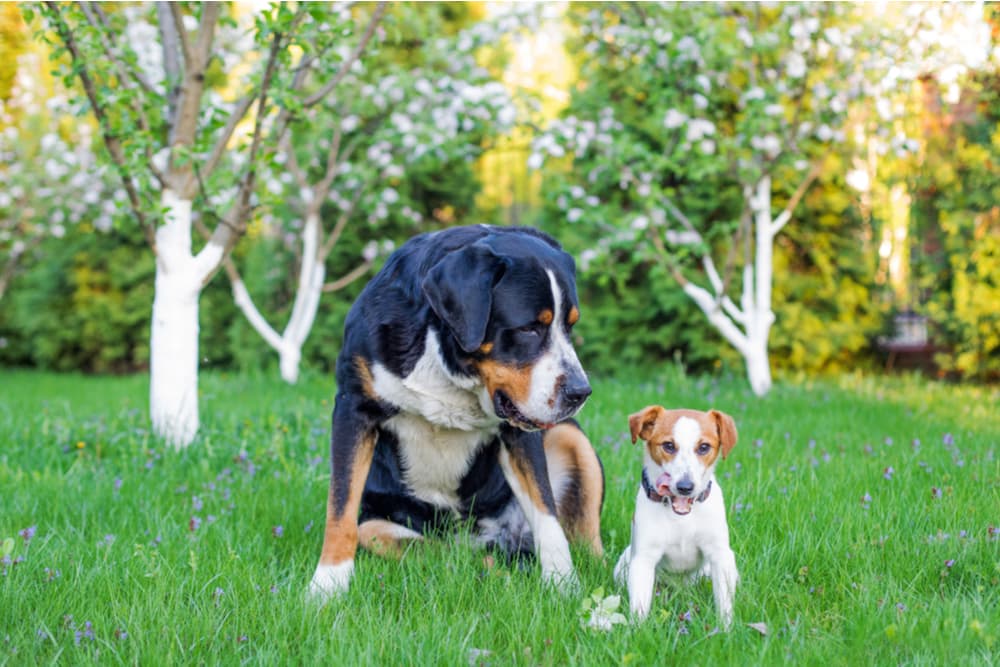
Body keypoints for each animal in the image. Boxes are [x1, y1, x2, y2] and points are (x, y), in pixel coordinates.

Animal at [304, 224, 600, 600]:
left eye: (569, 326)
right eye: (528, 328)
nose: (580, 392)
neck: (448, 365)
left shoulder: (519, 431)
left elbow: (546, 512)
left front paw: (564, 584)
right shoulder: (353, 408)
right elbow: (340, 508)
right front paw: (327, 585)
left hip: (570, 434)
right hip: (381, 521)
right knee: (436, 550)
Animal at [612, 404, 740, 628]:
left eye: (704, 447)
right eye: (669, 445)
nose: (685, 487)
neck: (681, 517)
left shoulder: (720, 555)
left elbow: (724, 603)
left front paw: (726, 629)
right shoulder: (643, 559)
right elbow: (639, 605)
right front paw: (637, 630)